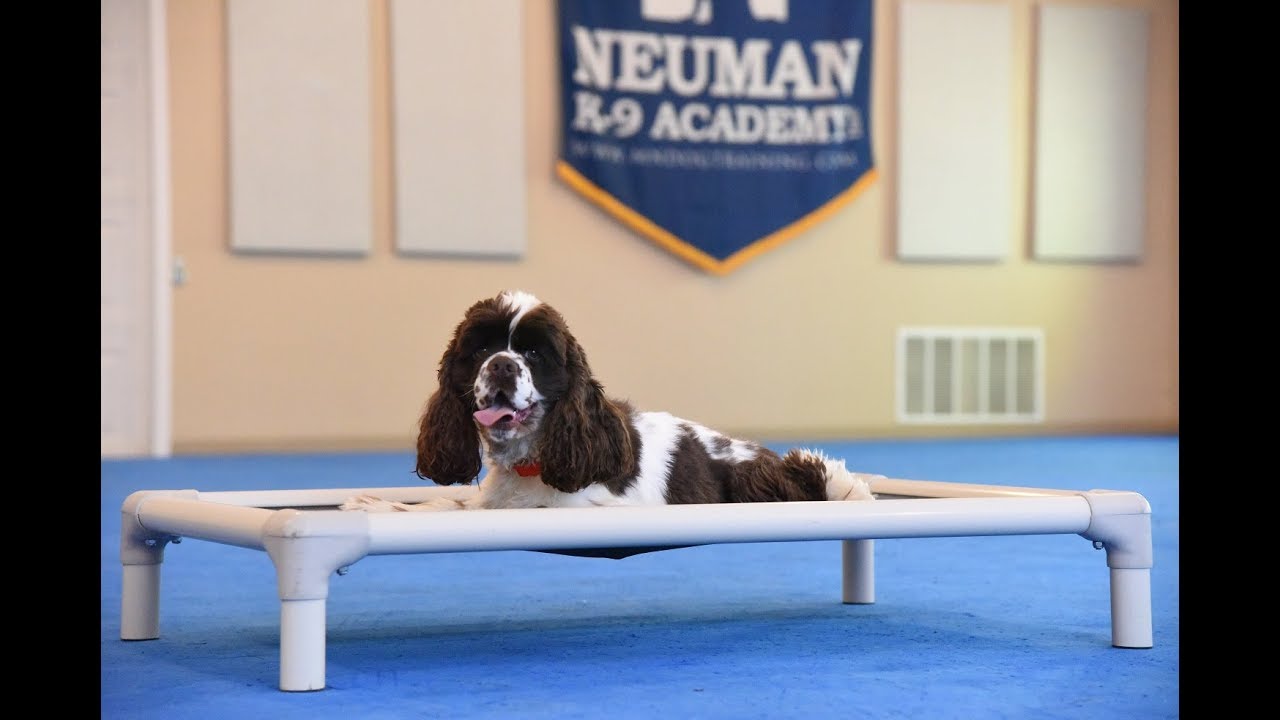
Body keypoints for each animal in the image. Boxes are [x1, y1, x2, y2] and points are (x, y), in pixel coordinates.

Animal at [341, 290, 877, 513]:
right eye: (478, 350)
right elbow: (448, 502)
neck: (533, 461)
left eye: (534, 353)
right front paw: (374, 501)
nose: (502, 365)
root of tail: (778, 462)